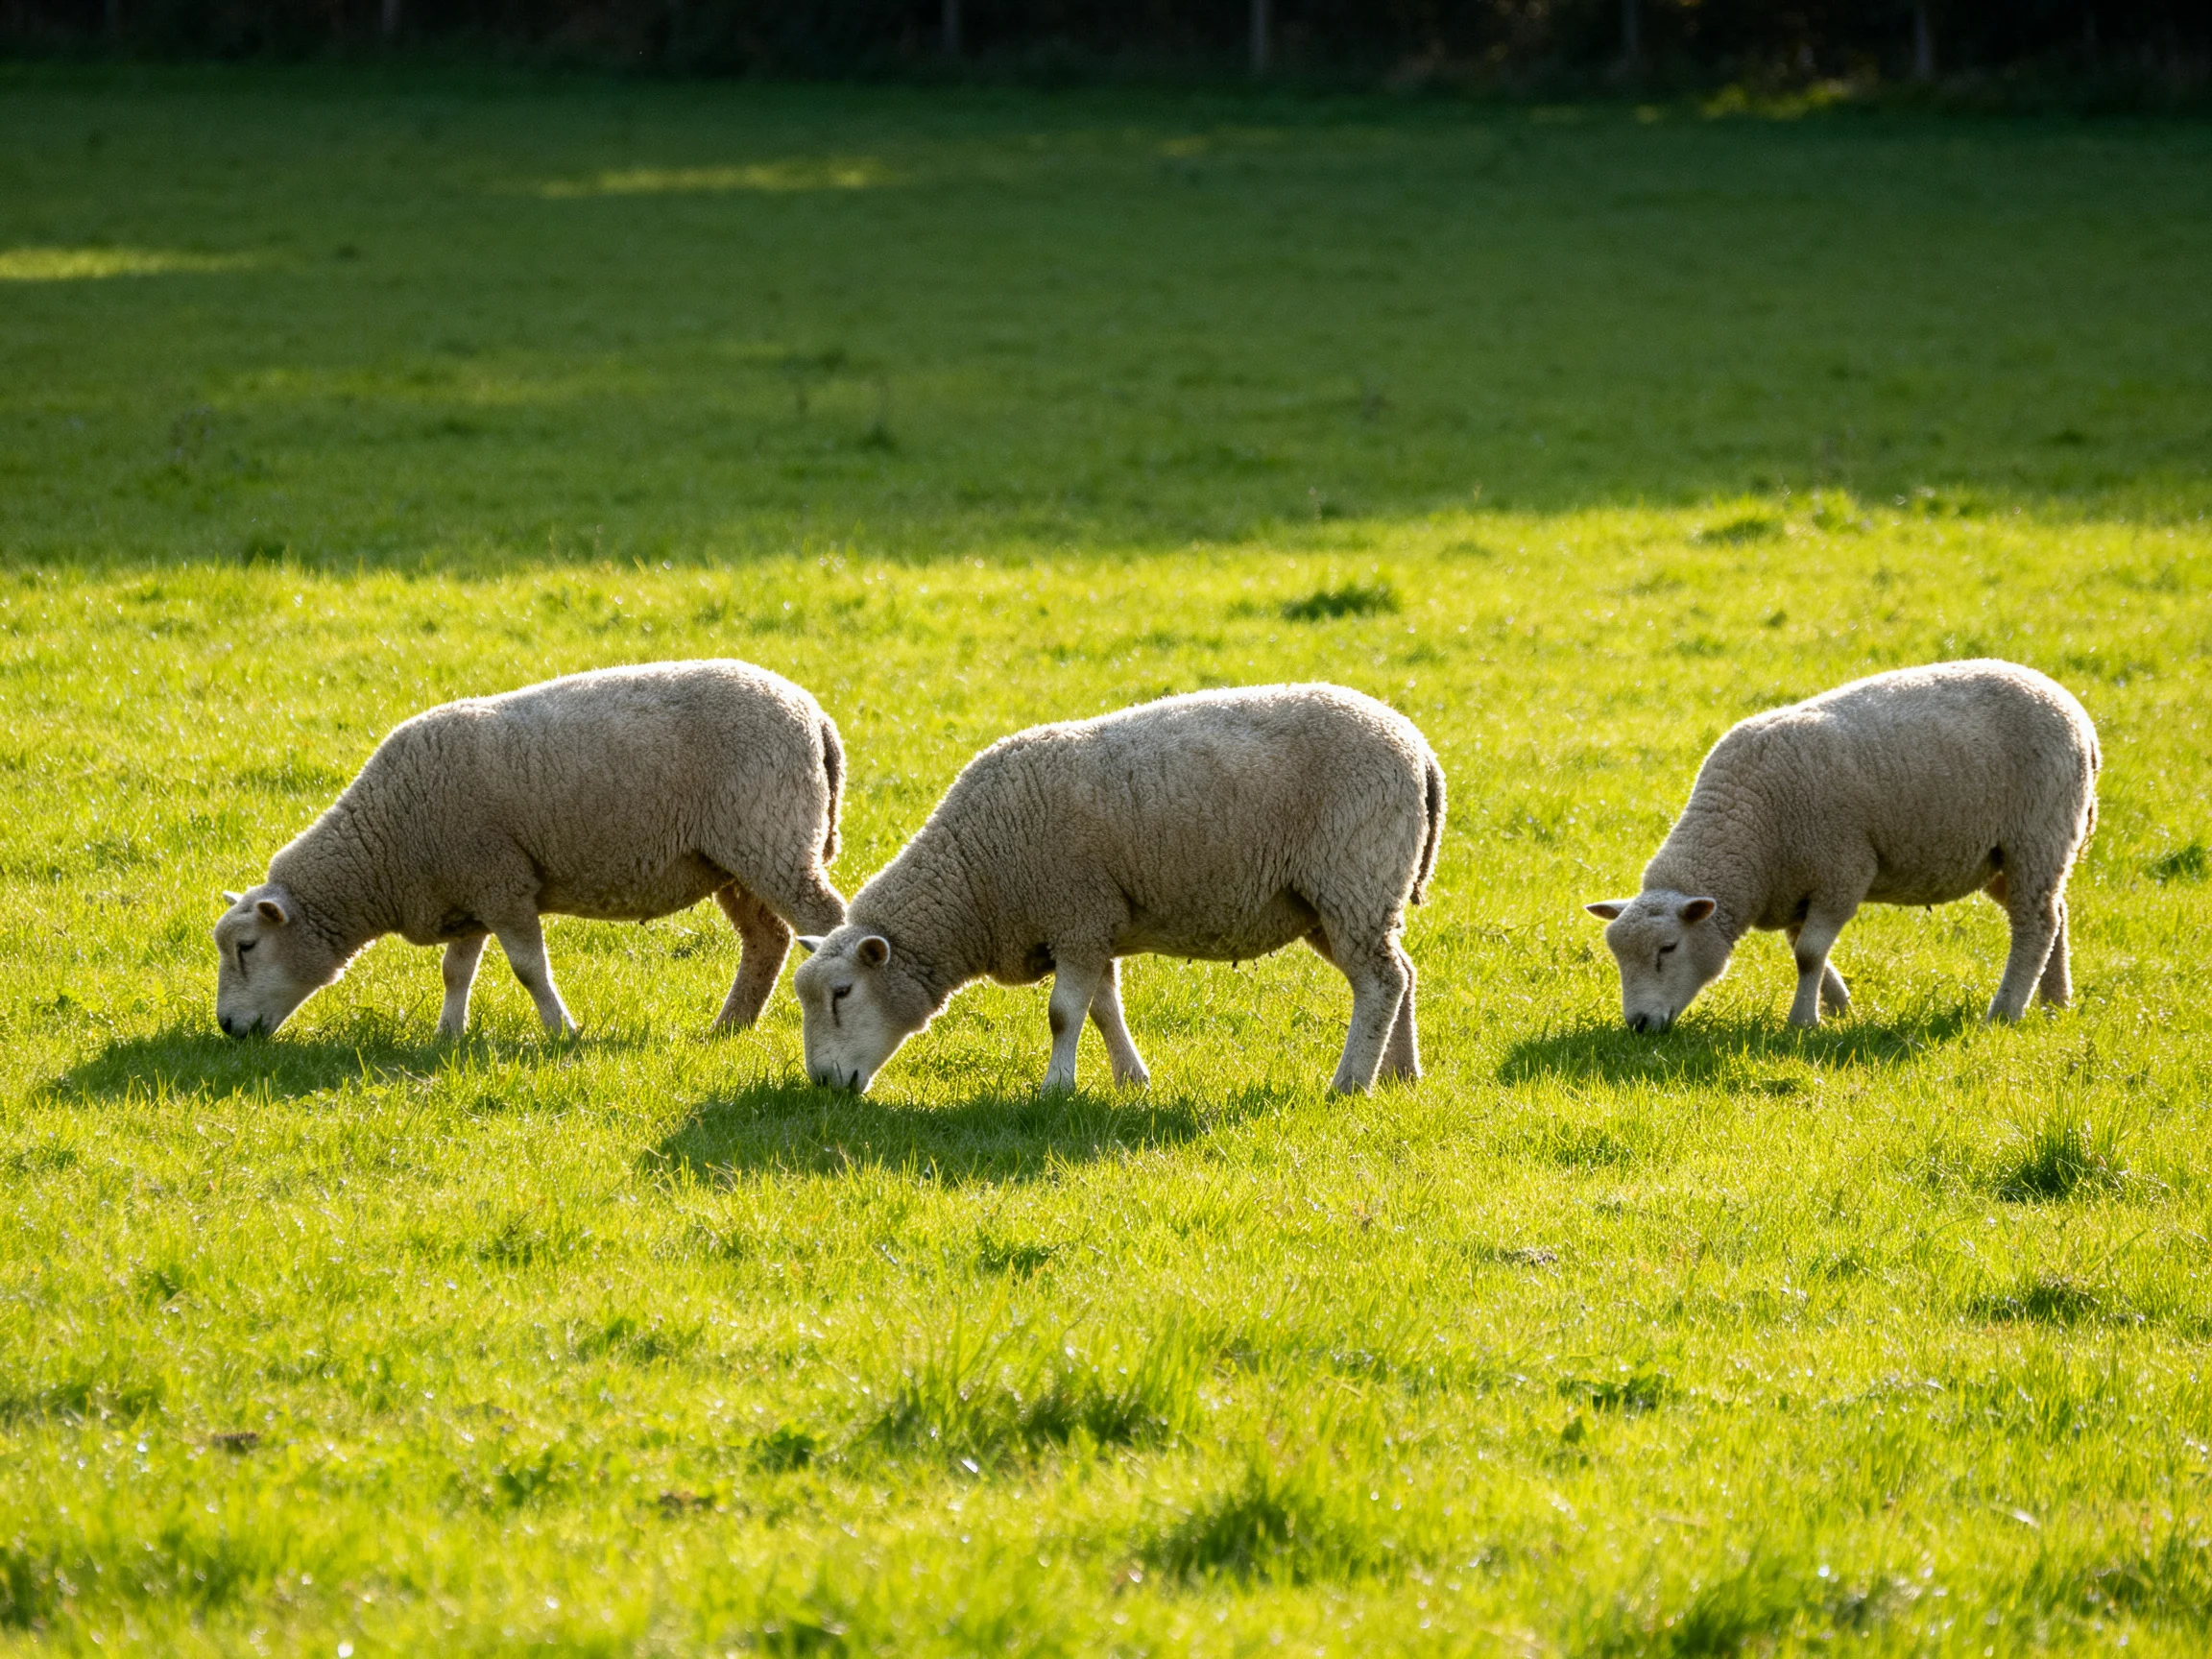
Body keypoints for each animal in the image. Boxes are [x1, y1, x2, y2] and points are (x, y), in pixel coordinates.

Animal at [213, 660, 847, 1039]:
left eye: (246, 946)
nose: (225, 1026)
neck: (385, 847)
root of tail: (814, 714)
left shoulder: (502, 883)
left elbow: (527, 968)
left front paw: (562, 1031)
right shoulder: (467, 889)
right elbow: (455, 970)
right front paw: (448, 1035)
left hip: (770, 837)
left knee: (823, 921)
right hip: (734, 860)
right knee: (767, 940)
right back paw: (728, 1027)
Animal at [790, 683, 1445, 1096]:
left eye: (842, 993)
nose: (824, 1086)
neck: (977, 876)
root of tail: (1419, 749)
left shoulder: (1076, 915)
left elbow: (1062, 1014)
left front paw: (1055, 1089)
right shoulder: (1094, 924)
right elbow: (1103, 1009)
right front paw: (1132, 1080)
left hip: (1354, 879)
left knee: (1380, 981)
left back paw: (1350, 1084)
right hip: (1334, 902)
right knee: (1400, 975)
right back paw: (1401, 1074)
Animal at [1585, 658, 2099, 1032]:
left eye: (1668, 949)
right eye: (1617, 957)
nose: (1639, 1025)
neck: (1747, 826)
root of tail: (2073, 710)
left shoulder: (1842, 872)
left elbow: (1808, 953)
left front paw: (1804, 1022)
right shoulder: (1795, 889)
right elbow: (1803, 948)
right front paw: (1838, 1008)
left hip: (2038, 833)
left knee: (2035, 923)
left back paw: (2006, 1012)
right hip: (1999, 857)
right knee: (2055, 914)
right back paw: (2055, 1002)